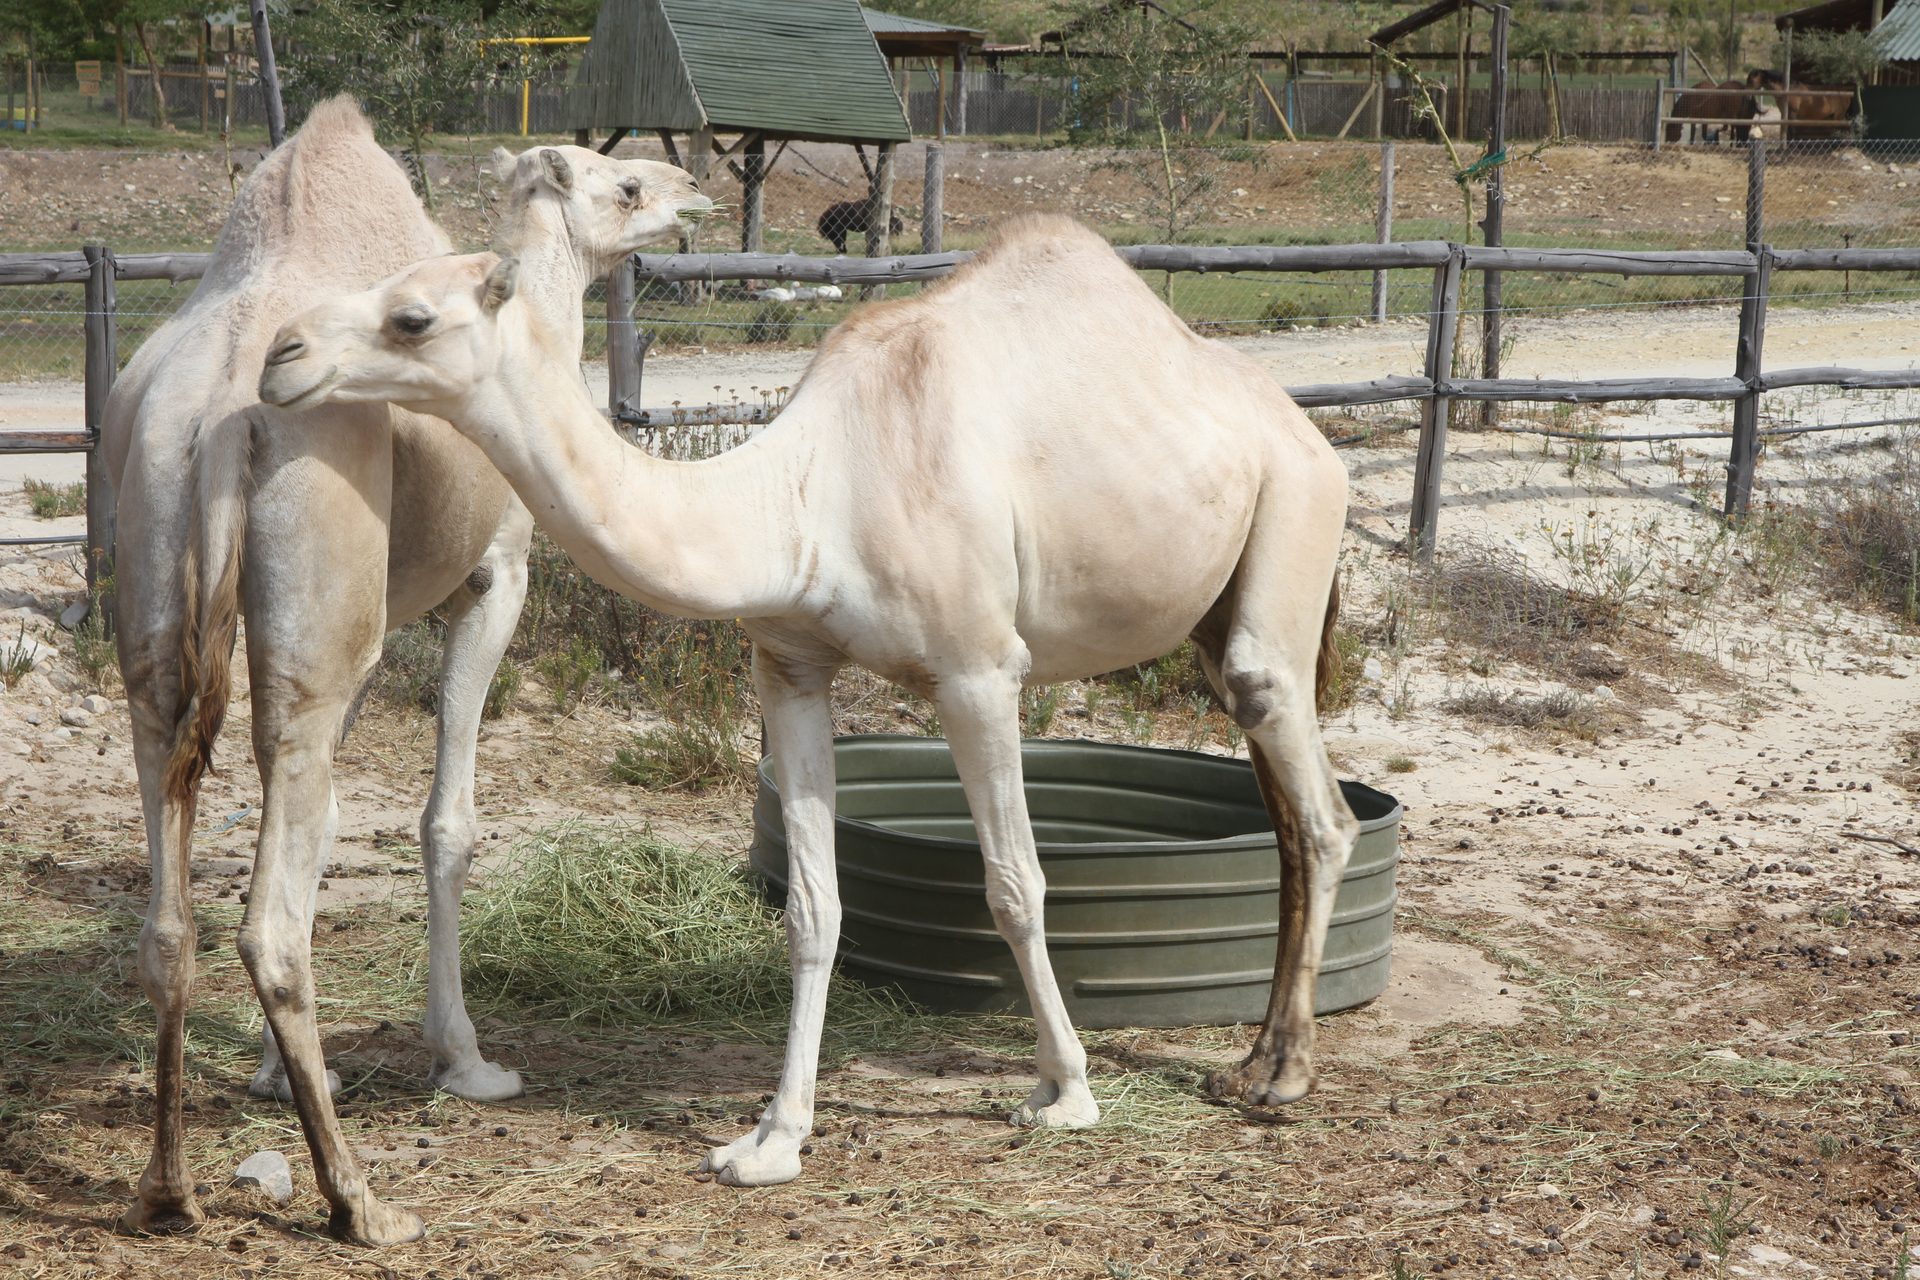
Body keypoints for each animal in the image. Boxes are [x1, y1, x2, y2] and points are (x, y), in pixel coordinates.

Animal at [105, 97, 709, 1244]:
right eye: (625, 187)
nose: (696, 195)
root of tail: (217, 406)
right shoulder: (495, 576)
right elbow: (448, 824)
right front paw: (465, 1058)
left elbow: (325, 826)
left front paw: (268, 1074)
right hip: (325, 607)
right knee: (267, 928)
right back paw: (360, 1201)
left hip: (156, 591)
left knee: (170, 898)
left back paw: (168, 1187)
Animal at [259, 213, 1359, 1190]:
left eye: (411, 317)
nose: (281, 354)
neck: (808, 496)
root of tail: (1304, 427)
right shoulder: (788, 664)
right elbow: (815, 907)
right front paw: (772, 1139)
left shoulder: (979, 668)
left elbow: (1015, 885)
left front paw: (1068, 1089)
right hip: (1213, 611)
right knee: (1284, 810)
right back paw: (1254, 1063)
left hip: (1295, 514)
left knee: (1315, 796)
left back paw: (1285, 1076)